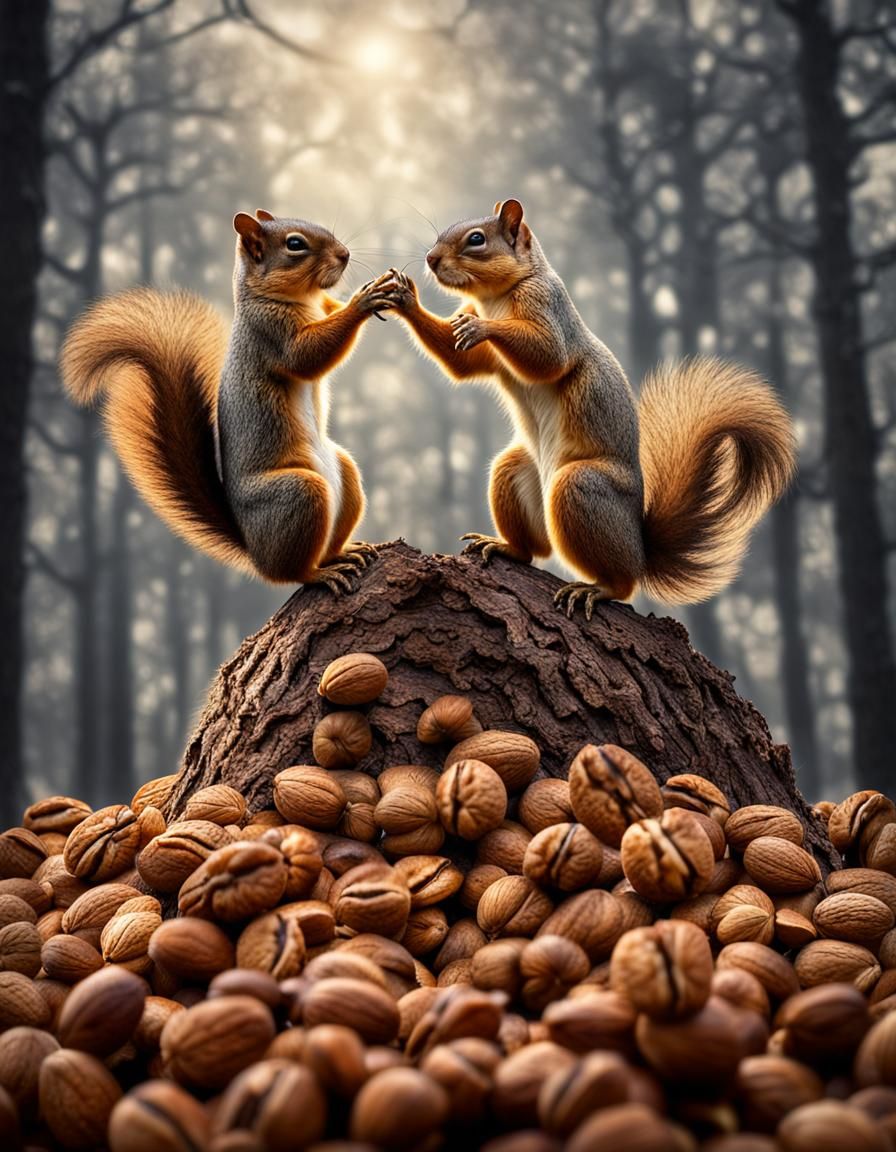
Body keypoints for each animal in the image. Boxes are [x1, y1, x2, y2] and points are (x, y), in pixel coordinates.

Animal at [61, 210, 402, 591]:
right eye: (295, 244)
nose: (344, 254)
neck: (302, 299)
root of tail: (253, 548)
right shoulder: (271, 332)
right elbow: (307, 354)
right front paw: (364, 300)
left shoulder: (321, 307)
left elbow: (332, 313)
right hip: (299, 494)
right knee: (292, 572)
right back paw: (320, 572)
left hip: (344, 474)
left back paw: (345, 551)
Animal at [383, 198, 796, 617]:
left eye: (476, 240)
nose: (431, 259)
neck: (494, 299)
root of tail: (639, 549)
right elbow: (460, 362)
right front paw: (404, 297)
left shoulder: (547, 306)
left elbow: (548, 354)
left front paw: (482, 327)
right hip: (514, 471)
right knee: (532, 550)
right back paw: (505, 546)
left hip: (580, 487)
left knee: (623, 582)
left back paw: (596, 589)